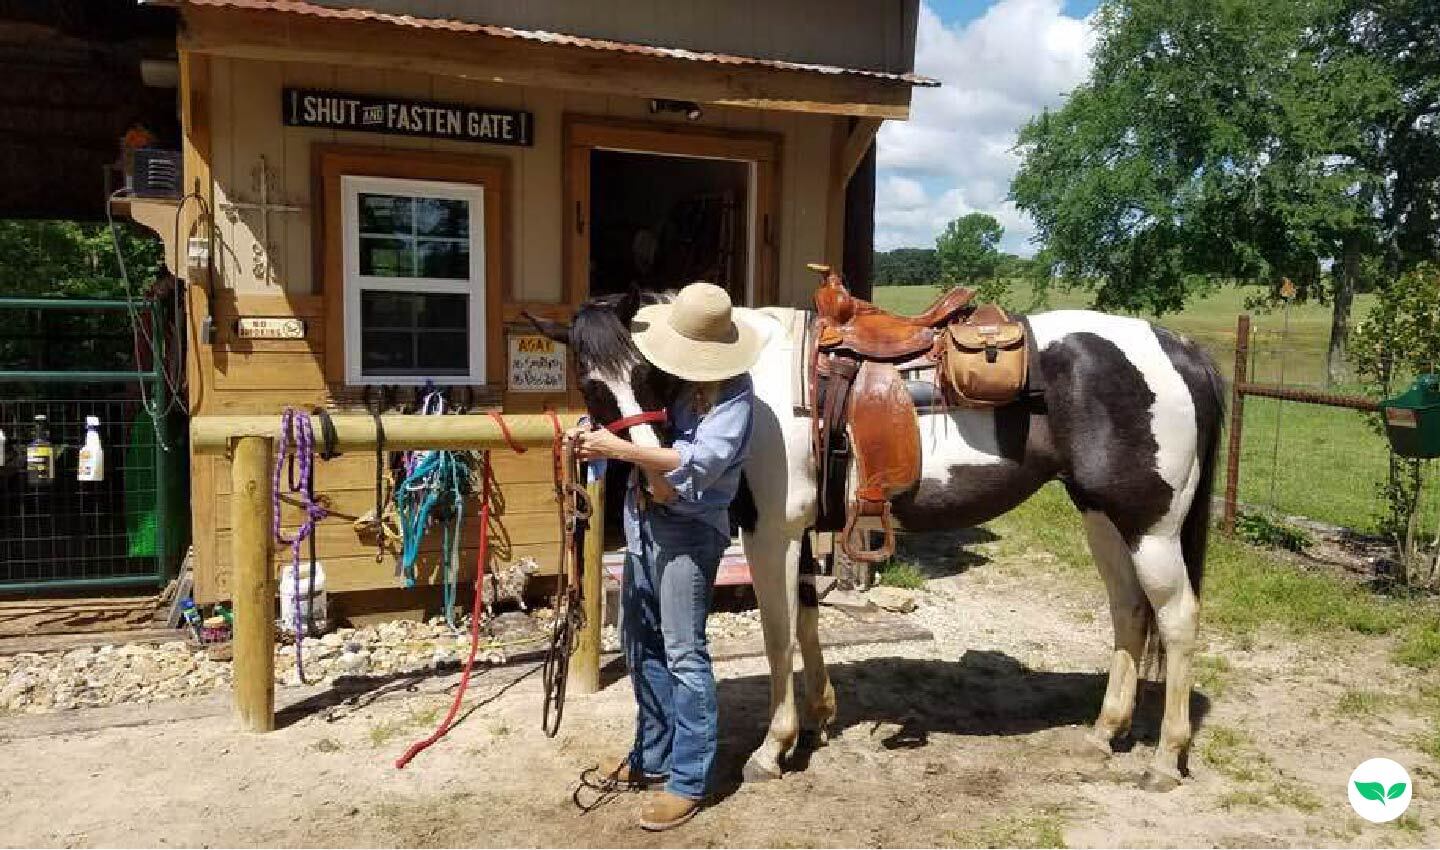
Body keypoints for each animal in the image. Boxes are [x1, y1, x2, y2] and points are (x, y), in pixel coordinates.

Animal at [527, 284, 1224, 792]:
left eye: (646, 374)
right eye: (593, 382)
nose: (648, 464)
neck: (749, 378)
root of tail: (1178, 347)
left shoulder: (771, 532)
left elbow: (779, 634)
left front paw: (773, 748)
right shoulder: (799, 534)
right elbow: (808, 622)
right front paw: (819, 720)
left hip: (1151, 528)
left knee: (1177, 619)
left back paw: (1165, 761)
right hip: (1104, 518)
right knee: (1129, 612)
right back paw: (1104, 732)